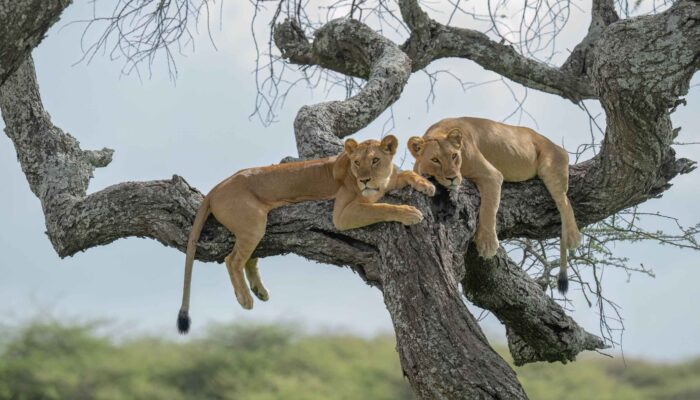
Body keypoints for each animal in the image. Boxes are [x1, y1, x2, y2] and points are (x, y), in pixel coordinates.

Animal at [175, 136, 434, 332]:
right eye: (357, 162)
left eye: (376, 160)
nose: (364, 180)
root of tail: (216, 187)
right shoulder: (342, 214)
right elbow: (382, 207)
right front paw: (411, 213)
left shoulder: (388, 181)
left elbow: (406, 174)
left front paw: (427, 185)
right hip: (253, 222)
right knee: (233, 259)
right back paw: (246, 299)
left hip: (255, 226)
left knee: (249, 258)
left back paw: (259, 292)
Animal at [408, 116, 584, 294]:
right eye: (435, 160)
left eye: (453, 156)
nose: (452, 178)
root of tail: (554, 144)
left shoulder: (491, 175)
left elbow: (488, 208)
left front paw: (487, 244)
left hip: (550, 166)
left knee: (564, 201)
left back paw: (573, 237)